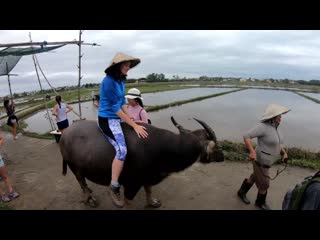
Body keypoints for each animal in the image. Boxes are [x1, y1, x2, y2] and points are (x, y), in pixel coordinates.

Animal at [60, 116, 225, 208]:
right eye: (216, 146)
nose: (223, 156)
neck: (163, 148)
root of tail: (64, 134)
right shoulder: (132, 184)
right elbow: (128, 202)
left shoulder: (148, 176)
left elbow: (149, 190)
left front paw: (152, 203)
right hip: (74, 167)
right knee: (82, 182)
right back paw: (90, 199)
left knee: (83, 184)